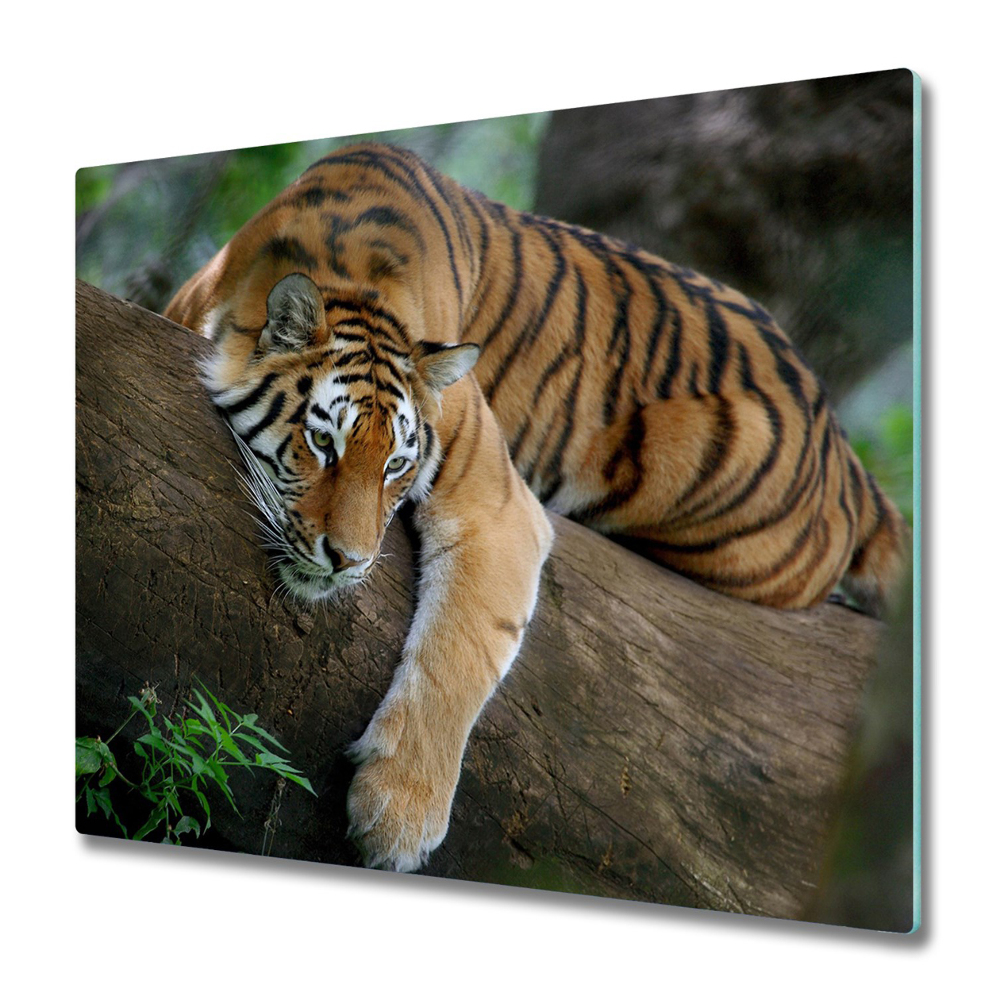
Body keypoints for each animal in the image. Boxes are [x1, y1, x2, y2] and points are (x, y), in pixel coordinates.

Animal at [164, 141, 908, 873]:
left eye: (396, 466)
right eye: (323, 443)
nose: (348, 561)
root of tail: (842, 441)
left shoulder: (497, 505)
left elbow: (460, 651)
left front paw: (398, 817)